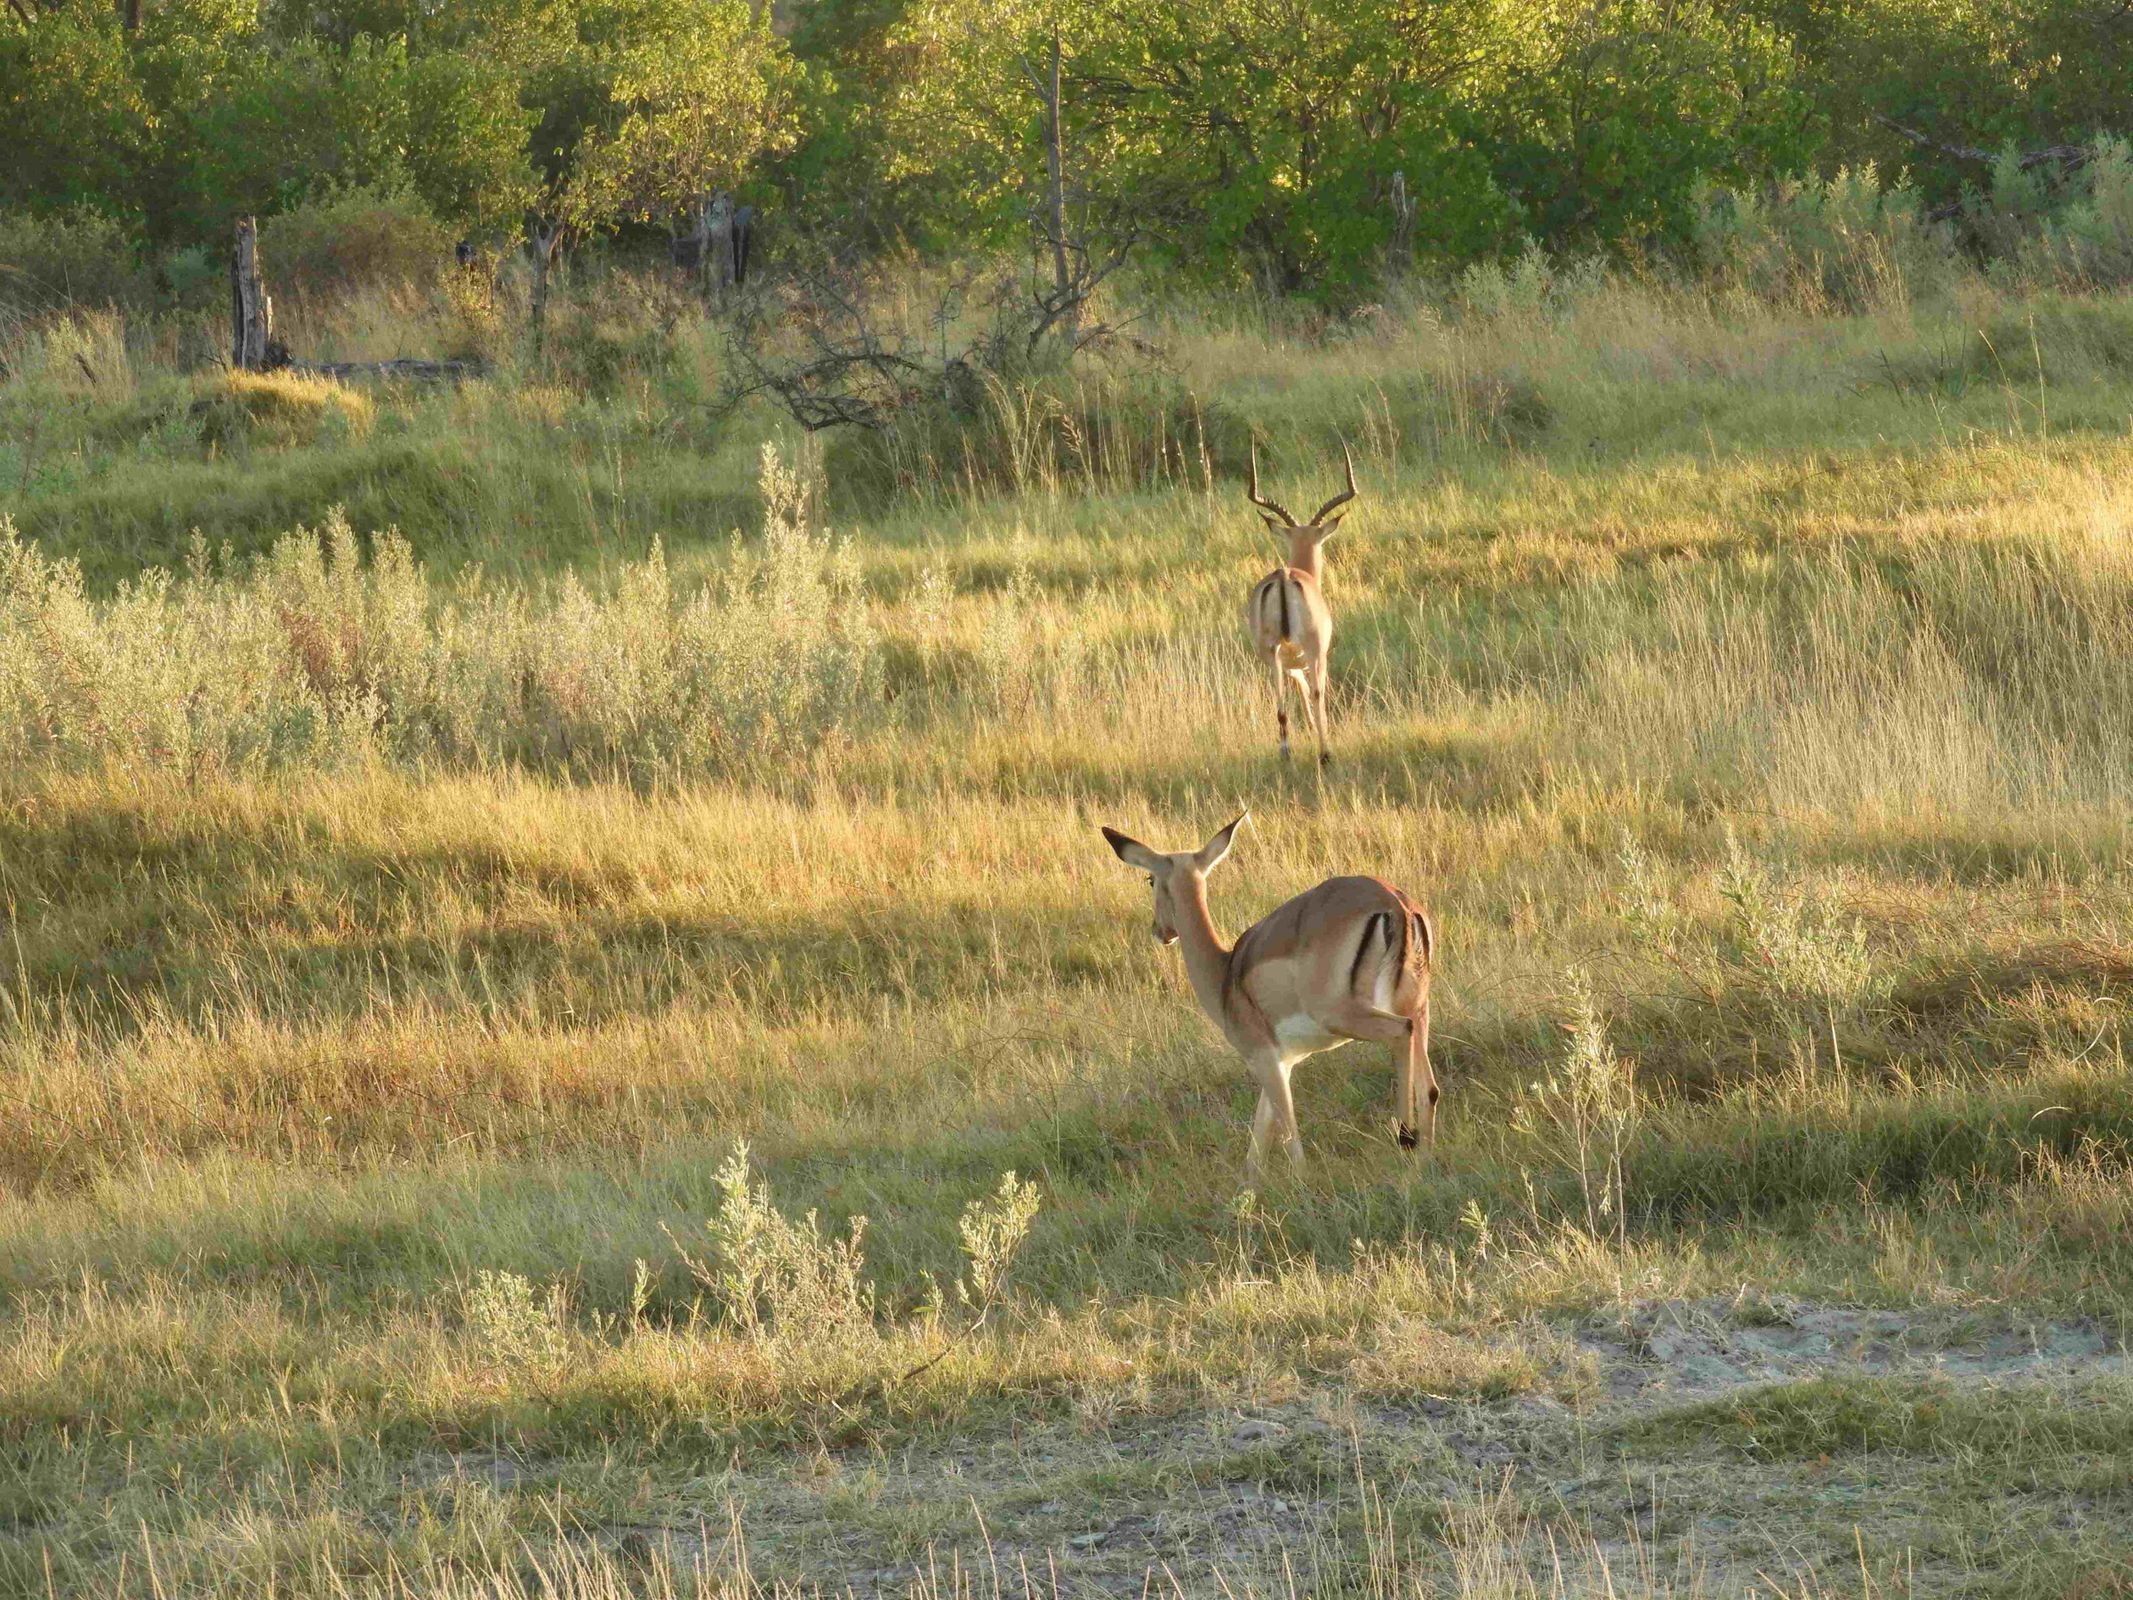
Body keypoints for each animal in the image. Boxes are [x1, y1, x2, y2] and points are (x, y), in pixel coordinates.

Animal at [1100, 819, 1433, 1186]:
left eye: (1150, 879)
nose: (1160, 931)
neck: (1225, 974)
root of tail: (1395, 904)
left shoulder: (1263, 1057)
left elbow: (1288, 1133)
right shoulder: (1281, 1061)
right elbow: (1258, 1144)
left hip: (1347, 1016)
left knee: (1402, 1033)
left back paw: (1406, 1138)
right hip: (1418, 1007)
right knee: (1429, 1087)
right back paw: (1422, 1161)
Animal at [1245, 448, 1356, 768]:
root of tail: (1284, 576)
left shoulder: (1291, 662)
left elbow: (1300, 688)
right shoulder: (1319, 655)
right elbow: (1316, 692)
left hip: (1270, 653)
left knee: (1280, 701)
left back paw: (1285, 751)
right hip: (1312, 648)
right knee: (1317, 693)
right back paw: (1325, 754)